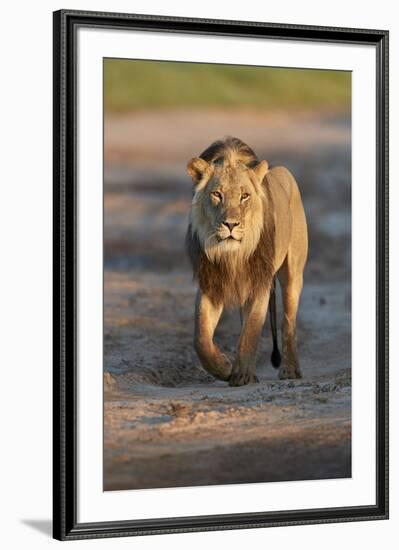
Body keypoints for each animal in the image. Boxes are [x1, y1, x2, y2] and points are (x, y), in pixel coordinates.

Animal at [186, 137, 308, 388]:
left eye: (244, 196)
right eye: (217, 194)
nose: (231, 224)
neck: (233, 254)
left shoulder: (259, 283)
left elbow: (251, 331)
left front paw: (242, 375)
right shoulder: (210, 284)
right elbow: (200, 338)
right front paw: (223, 367)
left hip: (293, 273)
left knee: (288, 321)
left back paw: (290, 369)